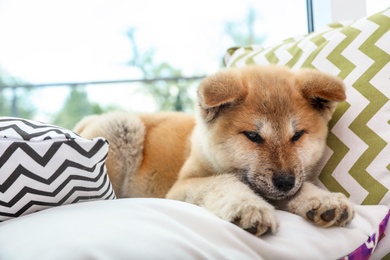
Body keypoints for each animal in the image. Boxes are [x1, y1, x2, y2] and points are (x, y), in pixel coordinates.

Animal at [74, 65, 354, 236]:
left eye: (296, 136)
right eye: (253, 136)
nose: (285, 181)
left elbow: (300, 187)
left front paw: (322, 199)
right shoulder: (183, 187)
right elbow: (224, 182)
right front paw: (248, 208)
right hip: (120, 127)